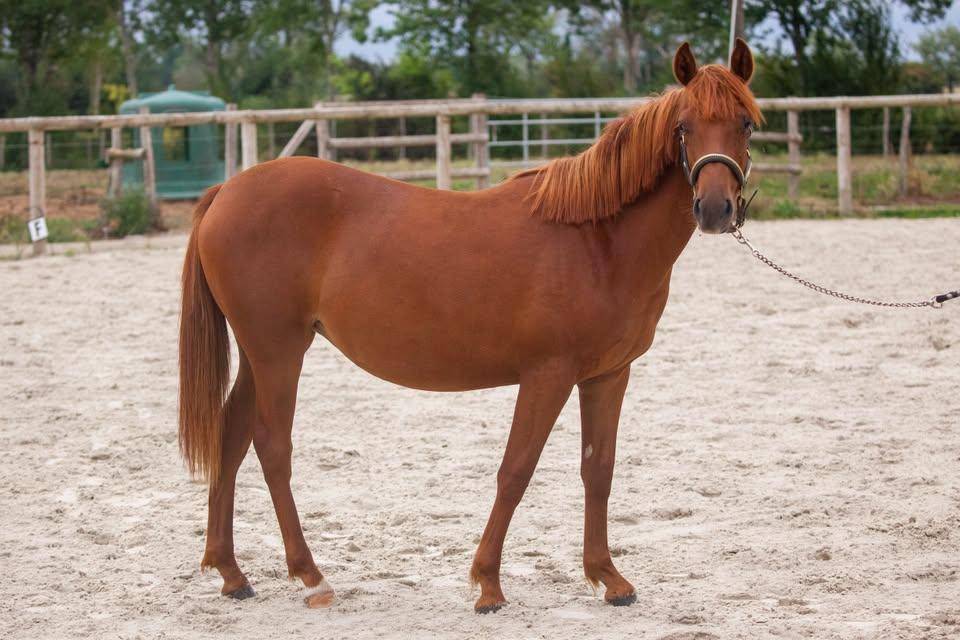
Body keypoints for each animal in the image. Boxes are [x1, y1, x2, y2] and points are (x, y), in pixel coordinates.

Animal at [179, 39, 763, 613]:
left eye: (746, 124)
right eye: (683, 126)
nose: (714, 208)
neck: (597, 239)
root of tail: (226, 191)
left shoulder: (607, 376)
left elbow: (598, 470)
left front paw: (609, 578)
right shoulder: (548, 375)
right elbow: (516, 470)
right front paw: (488, 584)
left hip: (259, 356)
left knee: (231, 437)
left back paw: (231, 573)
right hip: (278, 352)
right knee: (272, 446)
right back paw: (311, 577)